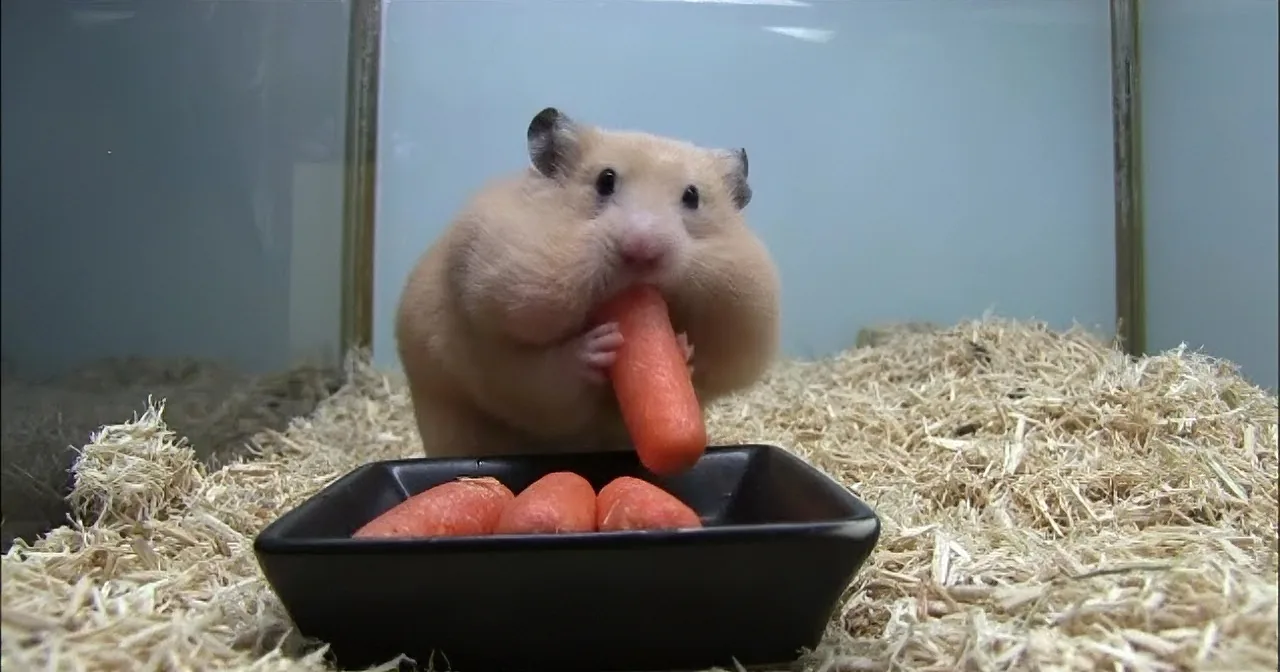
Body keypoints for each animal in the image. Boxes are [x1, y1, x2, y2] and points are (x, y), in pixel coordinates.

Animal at [394, 107, 781, 458]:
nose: (643, 251)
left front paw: (681, 347)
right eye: (605, 180)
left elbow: (703, 367)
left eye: (692, 196)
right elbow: (543, 375)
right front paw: (600, 345)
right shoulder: (493, 345)